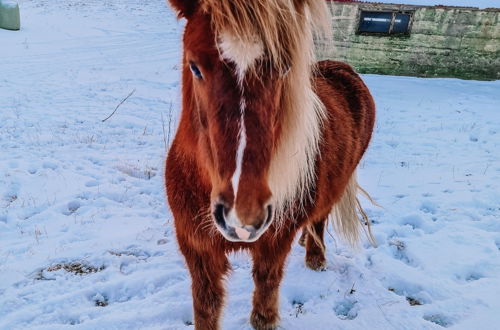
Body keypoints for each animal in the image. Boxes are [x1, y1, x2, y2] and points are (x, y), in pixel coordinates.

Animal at [166, 0, 376, 328]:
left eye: (285, 66)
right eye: (195, 66)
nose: (243, 215)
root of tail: (343, 68)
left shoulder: (274, 244)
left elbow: (265, 296)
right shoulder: (196, 248)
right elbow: (206, 307)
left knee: (320, 218)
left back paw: (315, 258)